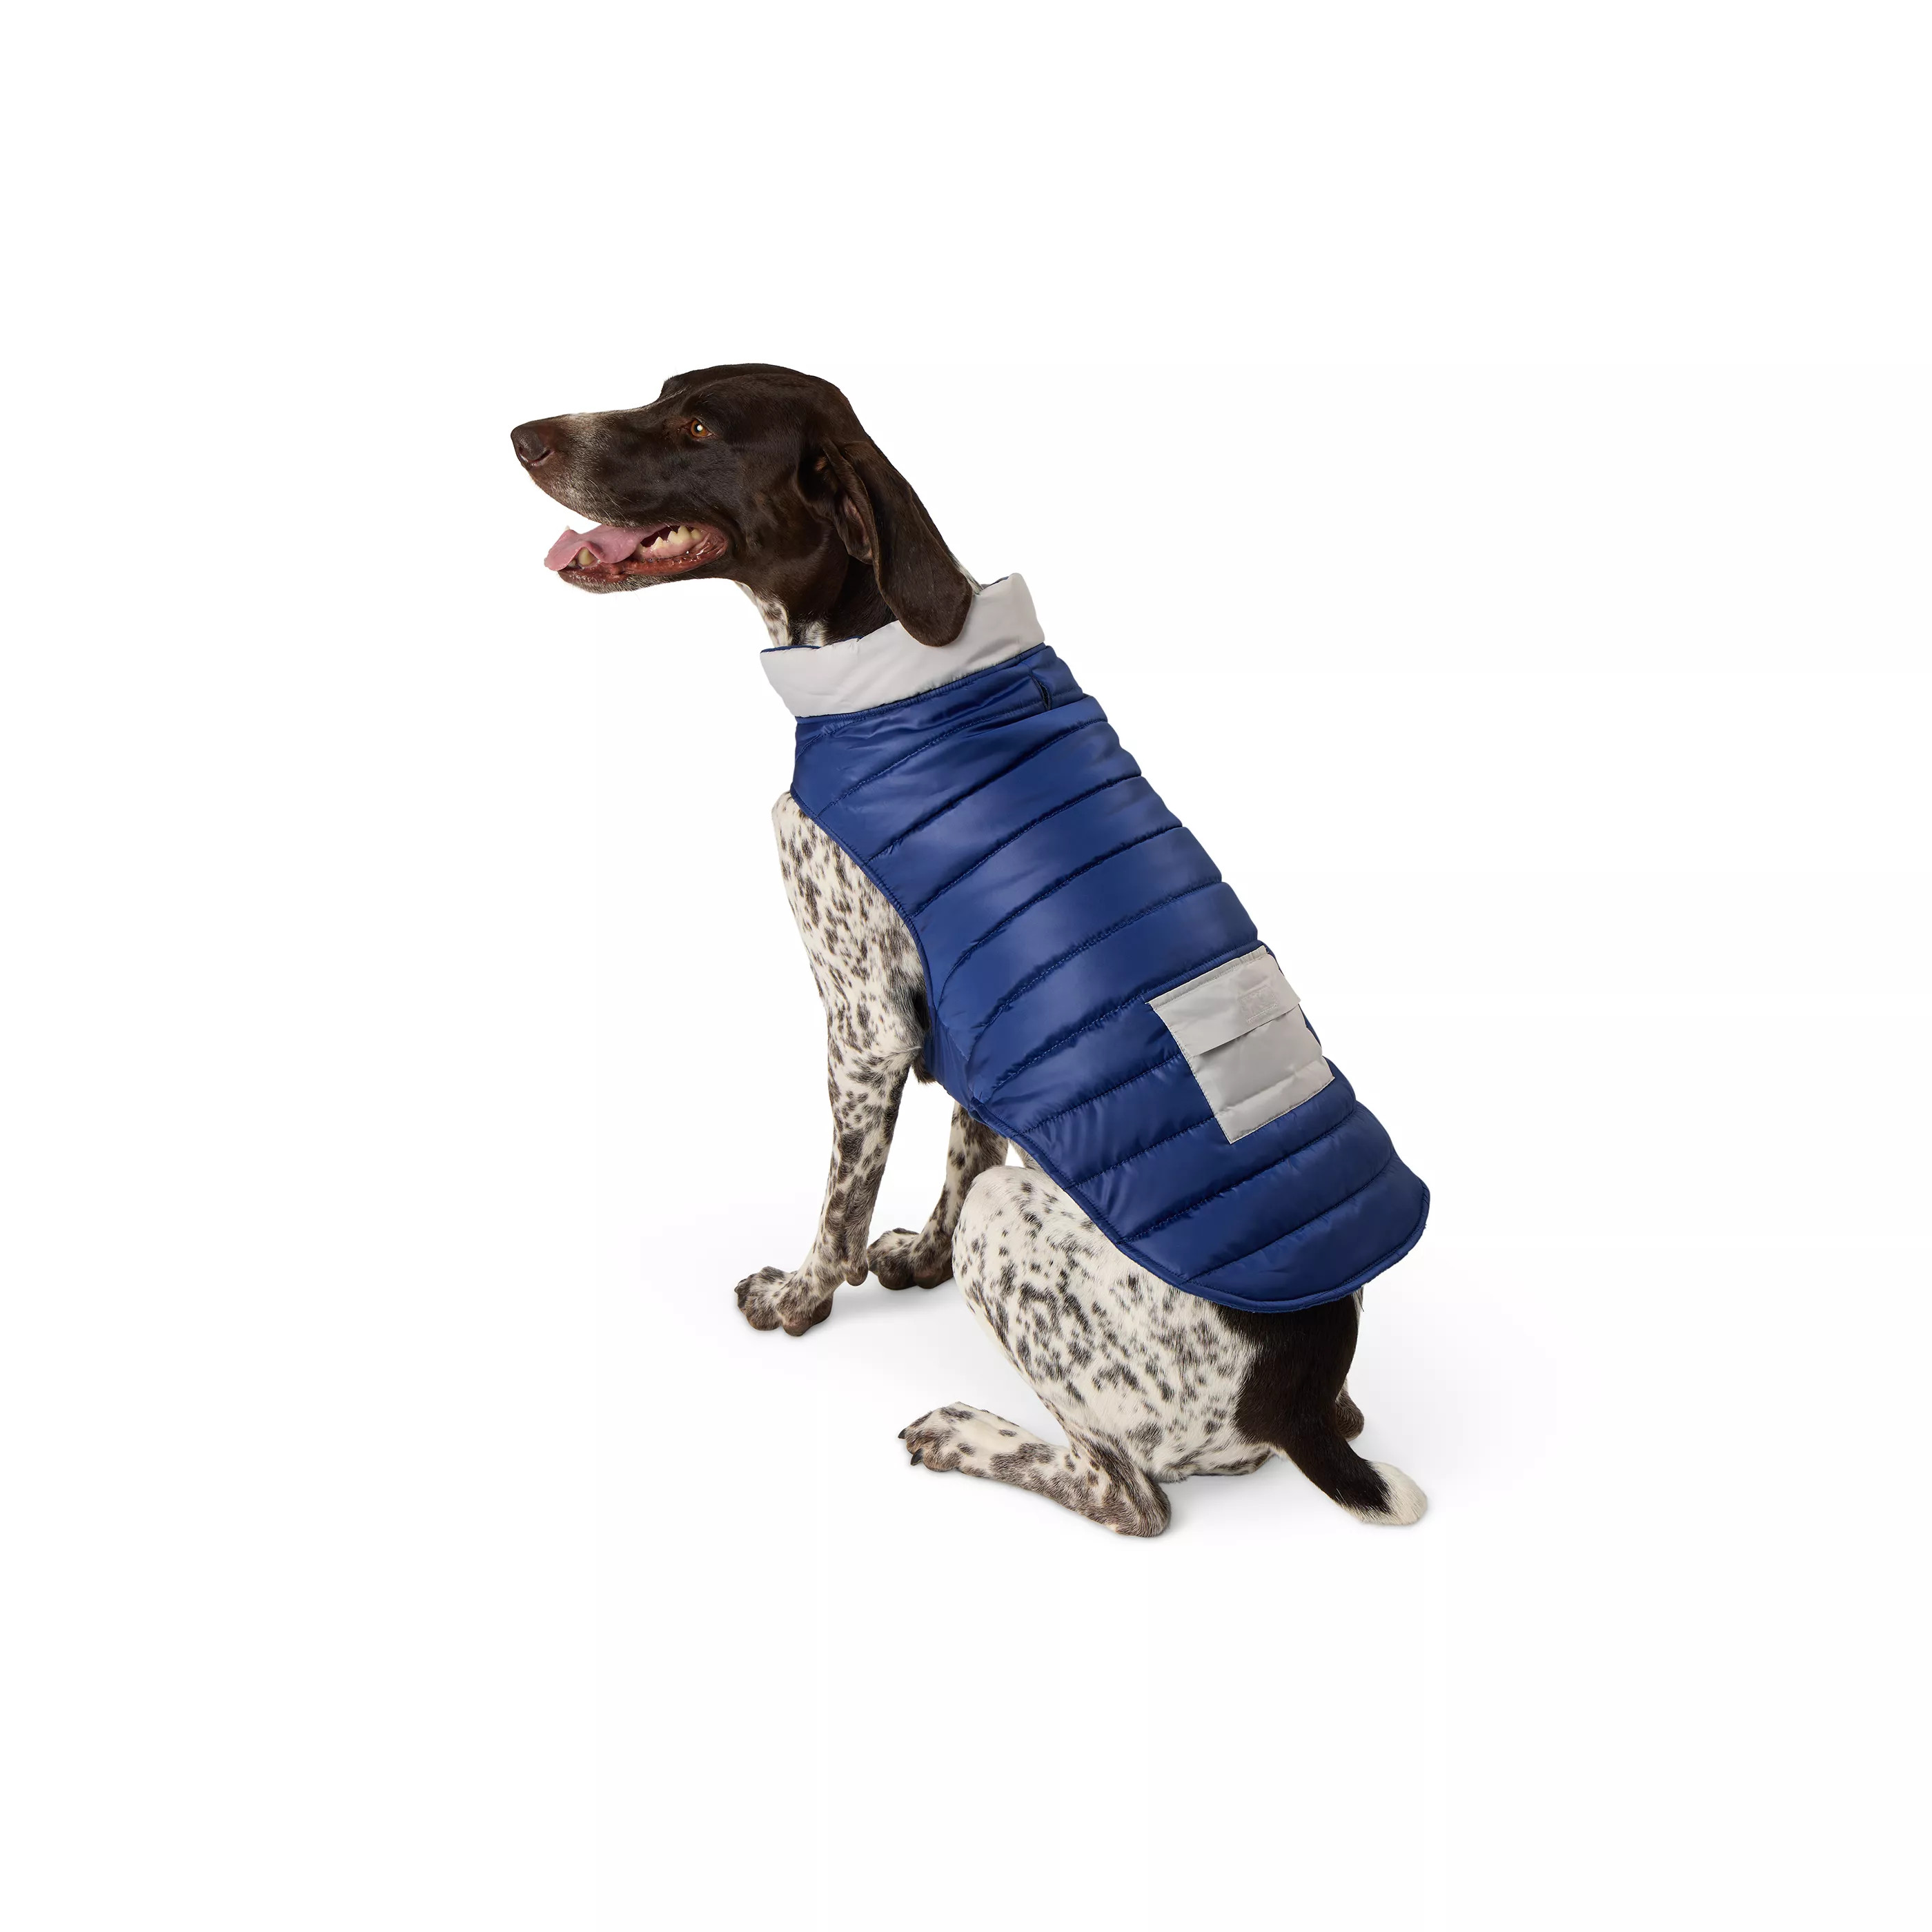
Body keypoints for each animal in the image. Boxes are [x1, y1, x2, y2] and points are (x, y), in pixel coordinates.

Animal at [513, 364, 1427, 1535]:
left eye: (700, 426)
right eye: (666, 392)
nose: (523, 436)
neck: (896, 659)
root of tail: (1302, 1402)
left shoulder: (866, 1022)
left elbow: (842, 1202)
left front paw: (800, 1300)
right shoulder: (975, 1010)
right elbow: (965, 1143)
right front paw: (920, 1260)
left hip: (1035, 1255)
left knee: (1127, 1495)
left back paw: (966, 1433)